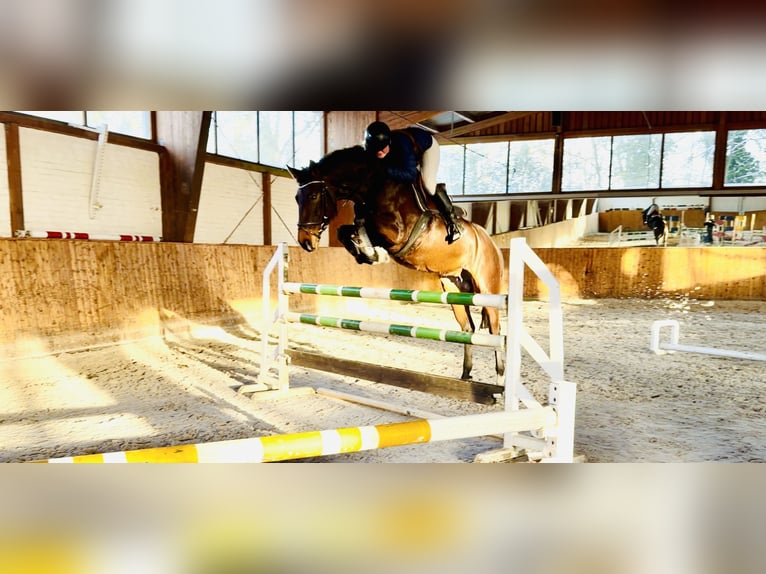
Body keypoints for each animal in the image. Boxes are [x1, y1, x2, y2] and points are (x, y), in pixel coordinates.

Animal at [287, 145, 506, 383]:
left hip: (487, 287)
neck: (373, 186)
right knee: (467, 327)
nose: (305, 242)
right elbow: (347, 228)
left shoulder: (397, 234)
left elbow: (364, 226)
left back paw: (500, 377)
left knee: (495, 329)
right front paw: (365, 253)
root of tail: (490, 241)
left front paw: (372, 254)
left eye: (314, 196)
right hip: (452, 286)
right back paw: (466, 374)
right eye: (296, 198)